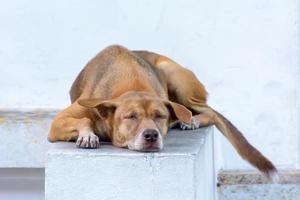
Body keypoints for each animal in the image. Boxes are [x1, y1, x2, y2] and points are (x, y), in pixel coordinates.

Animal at [47, 44, 278, 180]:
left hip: (174, 75)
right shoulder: (58, 122)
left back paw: (191, 121)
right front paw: (88, 135)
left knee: (209, 112)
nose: (151, 135)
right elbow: (84, 119)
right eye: (130, 117)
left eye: (159, 116)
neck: (130, 84)